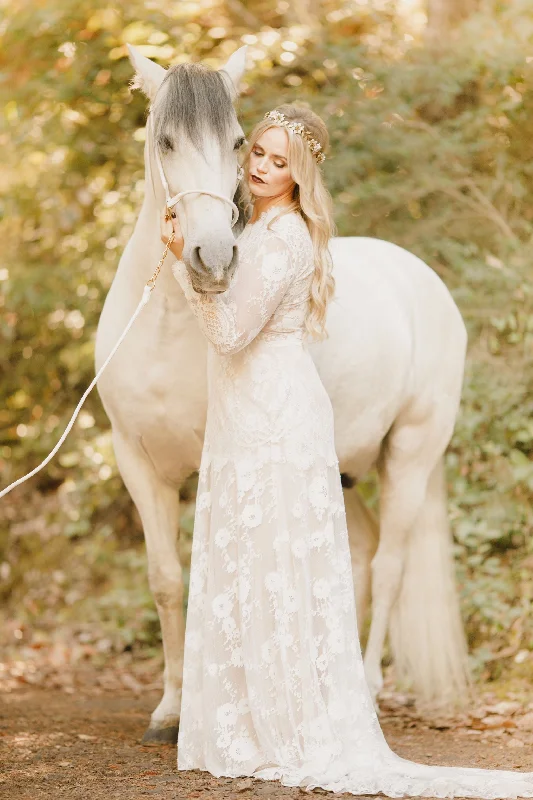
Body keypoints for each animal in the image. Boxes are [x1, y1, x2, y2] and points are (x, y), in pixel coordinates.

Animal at [95, 43, 470, 744]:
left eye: (238, 141)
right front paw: (170, 709)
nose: (213, 259)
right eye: (165, 140)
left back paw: (366, 691)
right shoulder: (137, 463)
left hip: (410, 455)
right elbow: (166, 580)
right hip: (344, 469)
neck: (168, 329)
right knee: (358, 556)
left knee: (390, 565)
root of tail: (423, 278)